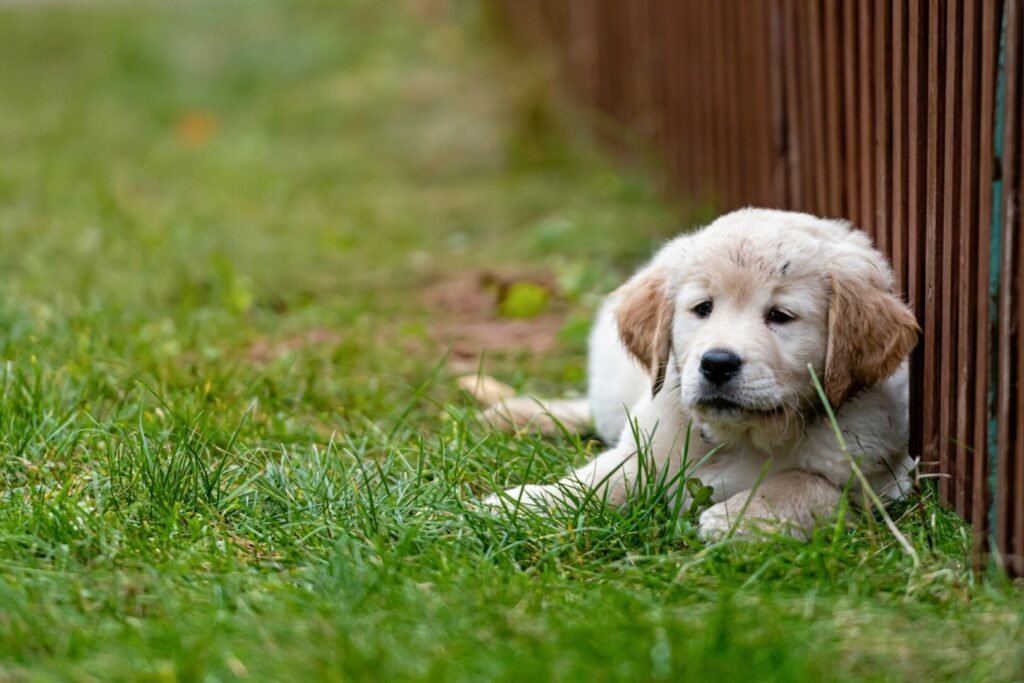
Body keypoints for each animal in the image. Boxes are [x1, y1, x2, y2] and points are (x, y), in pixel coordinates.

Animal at [483, 208, 925, 540]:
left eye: (780, 316)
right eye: (703, 308)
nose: (717, 363)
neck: (742, 439)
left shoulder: (878, 482)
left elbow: (807, 483)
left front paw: (741, 518)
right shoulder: (645, 447)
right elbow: (598, 479)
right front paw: (525, 503)